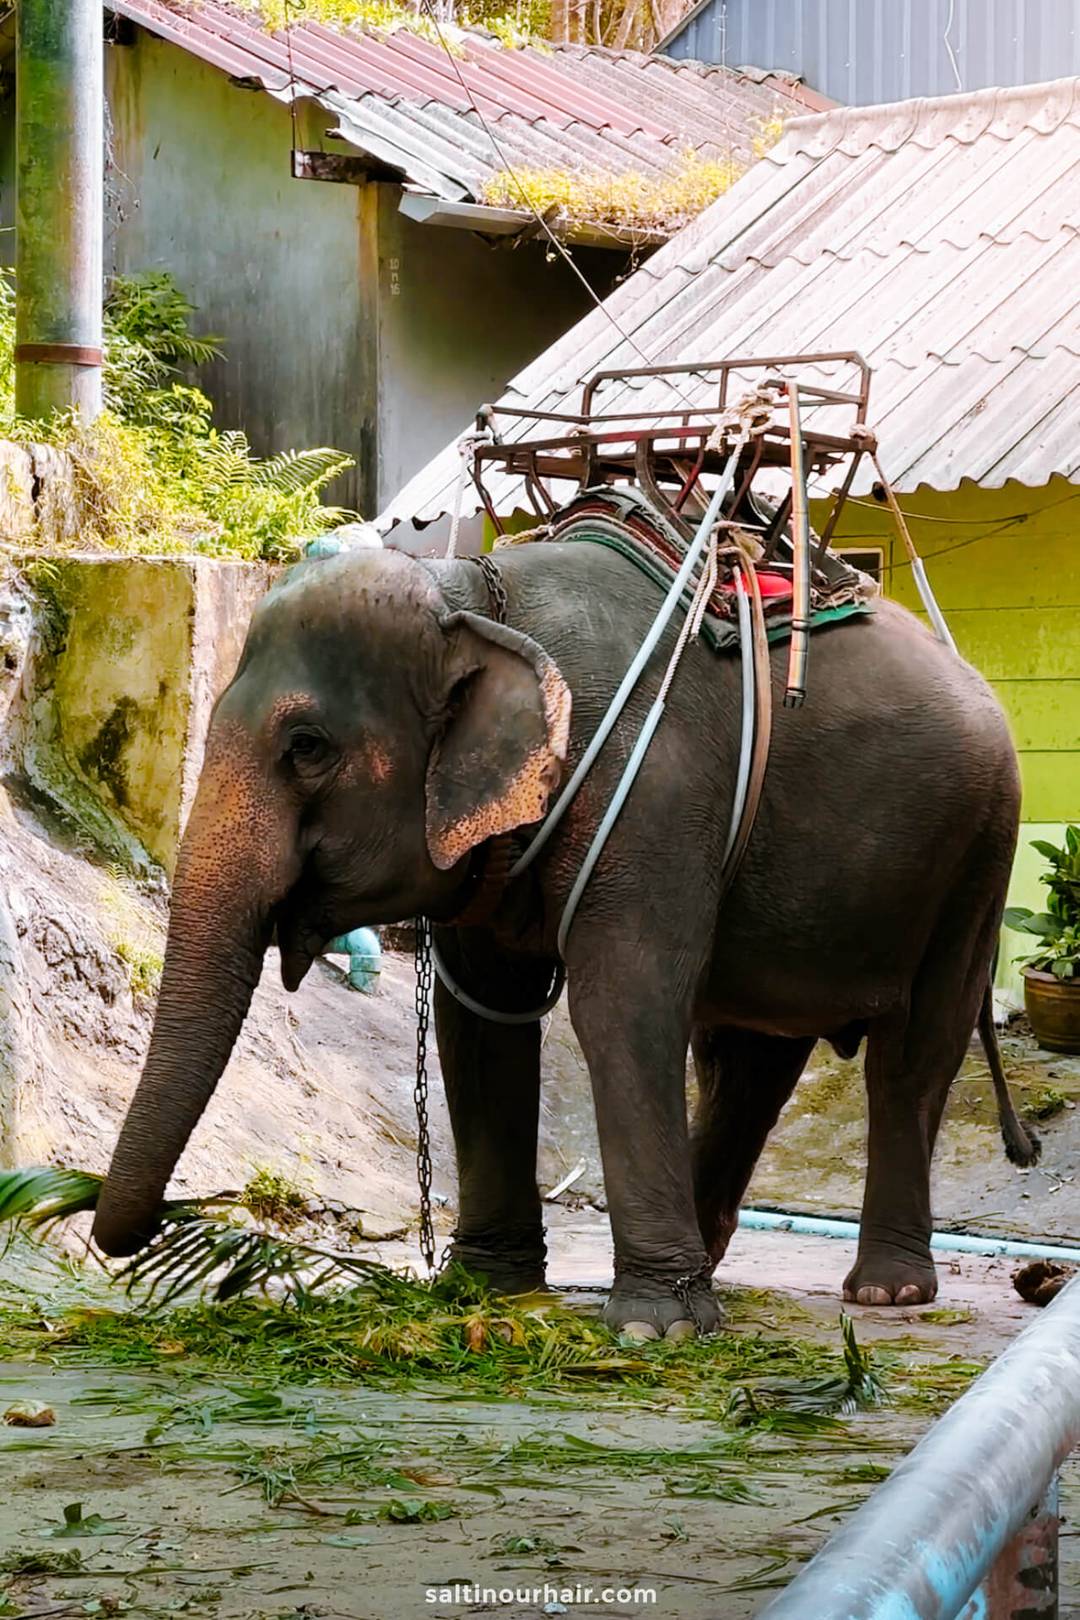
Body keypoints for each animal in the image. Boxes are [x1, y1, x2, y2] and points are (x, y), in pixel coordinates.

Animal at [91, 541, 1037, 1338]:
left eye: (308, 746)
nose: (134, 1235)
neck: (475, 599)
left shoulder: (654, 794)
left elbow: (626, 1002)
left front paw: (656, 1327)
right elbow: (482, 1023)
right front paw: (484, 1289)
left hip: (981, 846)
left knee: (913, 1052)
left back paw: (885, 1290)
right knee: (751, 1060)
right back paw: (711, 1258)